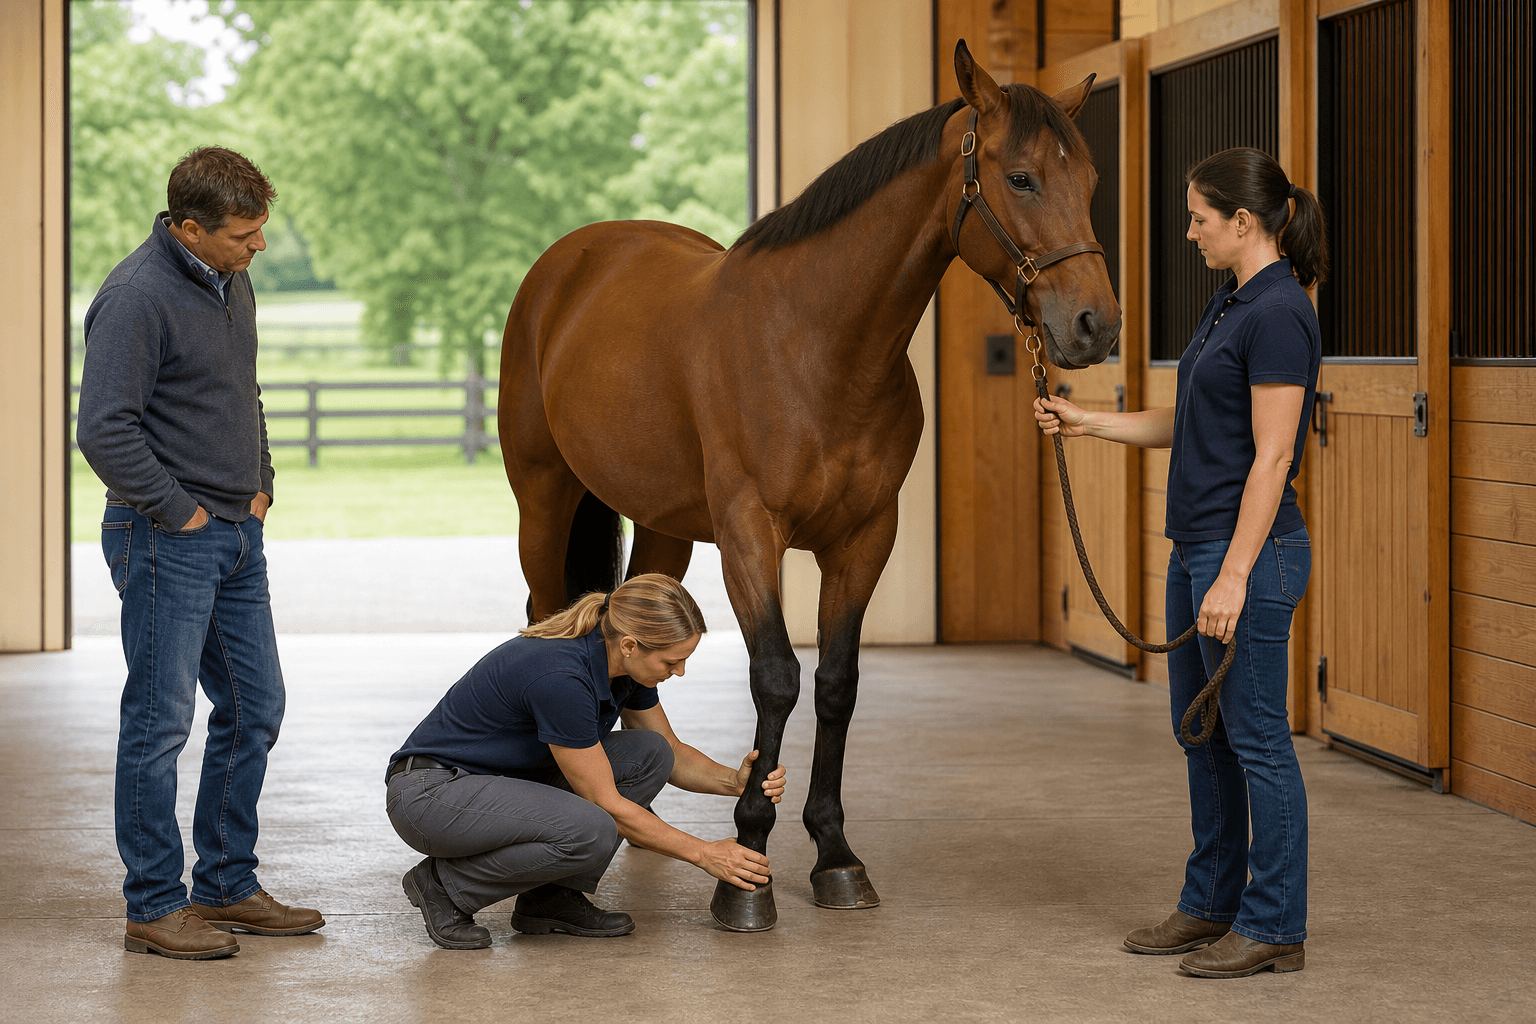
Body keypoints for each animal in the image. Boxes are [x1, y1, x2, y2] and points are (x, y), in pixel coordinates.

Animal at [498, 40, 1121, 931]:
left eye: (1092, 180)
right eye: (1022, 178)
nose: (1095, 327)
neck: (817, 343)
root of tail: (569, 262)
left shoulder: (865, 538)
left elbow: (835, 684)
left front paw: (834, 854)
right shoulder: (749, 535)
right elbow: (776, 678)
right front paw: (744, 869)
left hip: (665, 527)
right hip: (543, 498)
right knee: (543, 613)